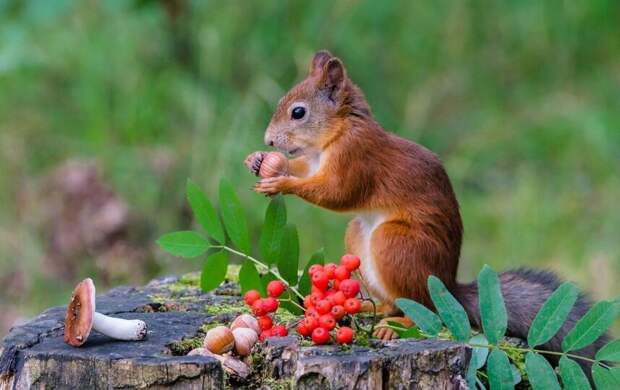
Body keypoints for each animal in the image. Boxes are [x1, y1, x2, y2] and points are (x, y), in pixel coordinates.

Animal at [245, 50, 608, 370]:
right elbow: (304, 169)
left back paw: (396, 325)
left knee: (423, 308)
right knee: (391, 301)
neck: (341, 129)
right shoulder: (316, 160)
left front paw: (281, 183)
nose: (269, 140)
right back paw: (366, 307)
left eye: (298, 112)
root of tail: (448, 286)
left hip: (396, 244)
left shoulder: (357, 158)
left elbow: (336, 194)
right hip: (360, 237)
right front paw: (261, 161)